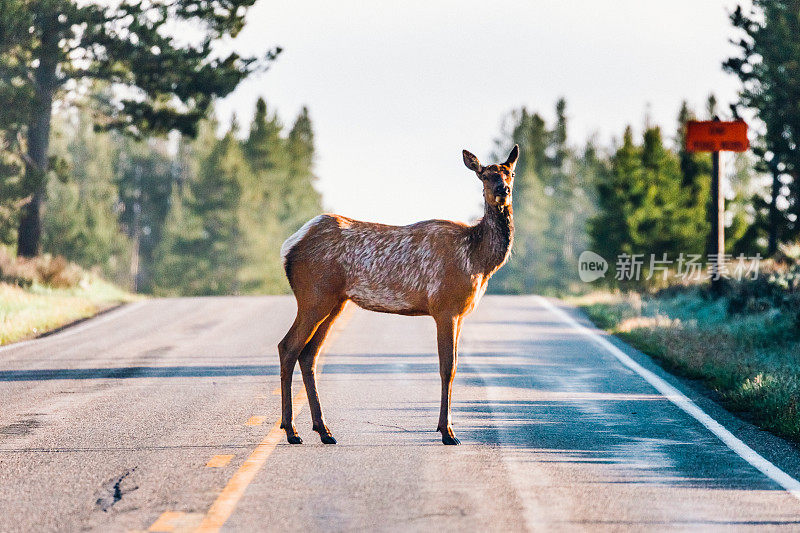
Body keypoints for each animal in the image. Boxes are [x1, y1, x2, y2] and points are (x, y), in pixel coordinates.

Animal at [280, 143, 520, 442]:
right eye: (484, 175)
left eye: (510, 173)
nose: (503, 190)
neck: (478, 259)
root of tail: (289, 247)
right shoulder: (445, 307)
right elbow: (447, 368)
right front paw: (447, 431)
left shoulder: (460, 313)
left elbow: (453, 367)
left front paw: (446, 427)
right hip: (313, 296)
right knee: (288, 347)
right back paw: (291, 430)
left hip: (335, 301)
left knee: (309, 354)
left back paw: (323, 430)